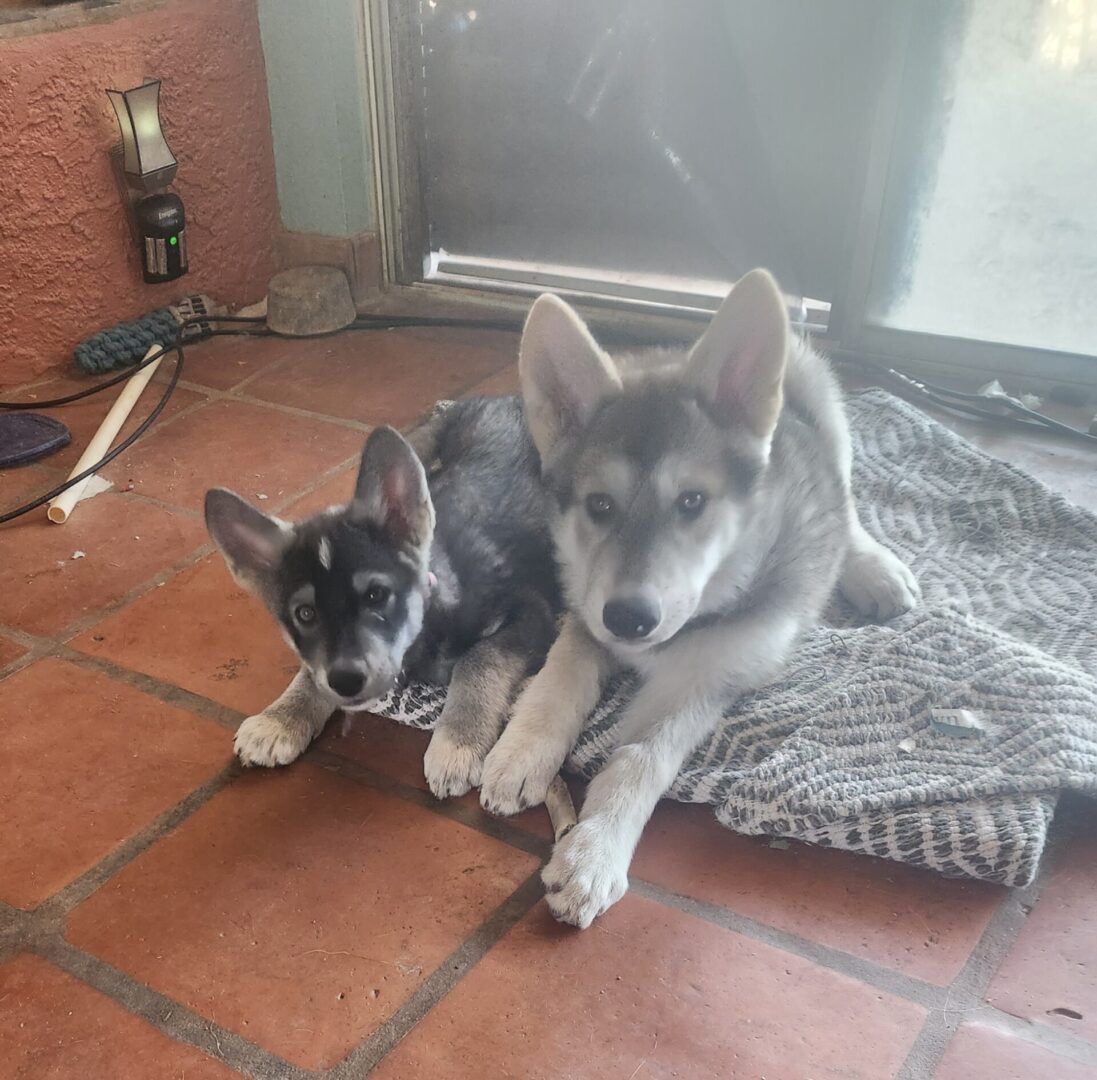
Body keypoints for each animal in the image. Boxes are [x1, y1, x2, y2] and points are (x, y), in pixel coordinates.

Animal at [206, 394, 561, 793]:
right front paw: (279, 719)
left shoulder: (531, 610)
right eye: (305, 614)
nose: (346, 681)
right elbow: (311, 670)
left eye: (376, 595)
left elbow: (479, 659)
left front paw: (457, 743)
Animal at [480, 269, 917, 925]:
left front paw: (594, 853)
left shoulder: (707, 679)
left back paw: (874, 568)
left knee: (846, 501)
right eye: (599, 505)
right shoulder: (586, 612)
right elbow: (559, 676)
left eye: (691, 501)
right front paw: (522, 750)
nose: (630, 618)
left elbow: (641, 758)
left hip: (822, 396)